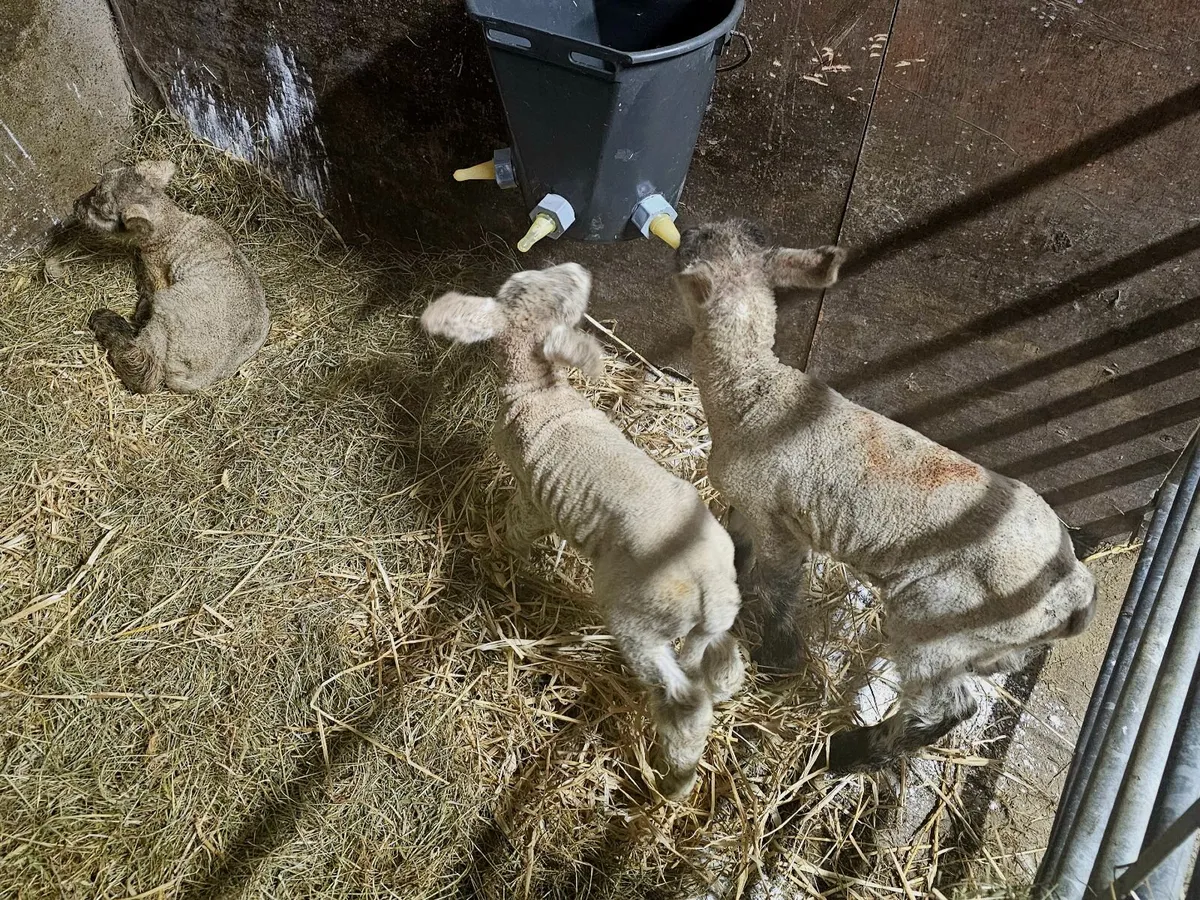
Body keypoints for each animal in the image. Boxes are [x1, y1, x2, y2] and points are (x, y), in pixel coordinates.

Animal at [421, 262, 745, 799]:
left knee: (684, 701)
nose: (578, 268)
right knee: (717, 665)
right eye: (542, 284)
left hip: (637, 617)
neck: (539, 390)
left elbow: (517, 526)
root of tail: (711, 593)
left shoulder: (531, 496)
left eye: (516, 286)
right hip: (706, 619)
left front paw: (505, 554)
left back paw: (674, 781)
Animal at [671, 220, 1097, 773]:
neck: (755, 392)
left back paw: (845, 753)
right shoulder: (751, 507)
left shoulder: (779, 523)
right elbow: (736, 548)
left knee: (947, 707)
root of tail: (1075, 589)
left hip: (935, 618)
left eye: (695, 245)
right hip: (986, 637)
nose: (682, 229)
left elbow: (779, 587)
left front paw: (778, 659)